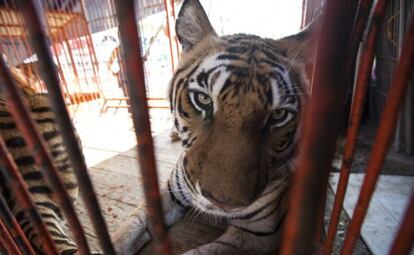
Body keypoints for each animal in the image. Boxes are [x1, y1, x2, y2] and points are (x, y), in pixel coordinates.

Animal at [113, 0, 316, 254]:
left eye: (278, 114)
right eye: (203, 99)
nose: (222, 202)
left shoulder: (257, 234)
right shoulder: (169, 192)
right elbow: (130, 226)